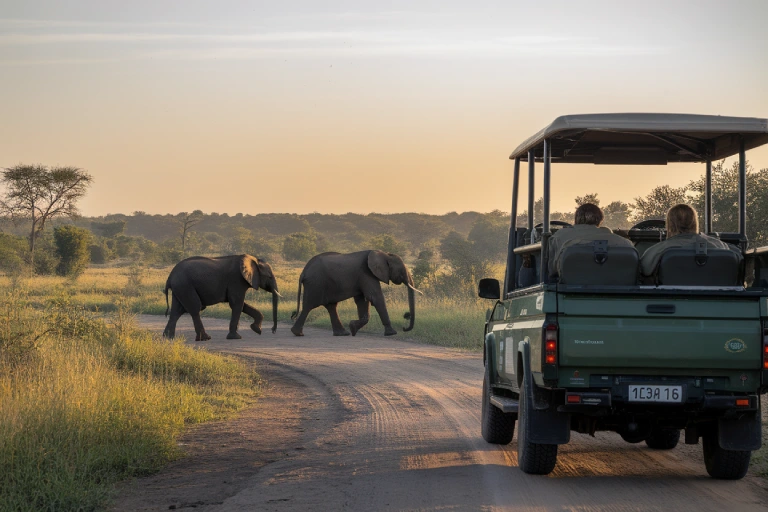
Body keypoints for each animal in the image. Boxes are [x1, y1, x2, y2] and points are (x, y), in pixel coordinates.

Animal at [290, 250, 420, 338]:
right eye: (401, 270)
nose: (404, 327)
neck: (384, 254)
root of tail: (303, 272)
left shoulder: (364, 276)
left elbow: (362, 301)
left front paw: (353, 328)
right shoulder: (366, 273)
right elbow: (375, 297)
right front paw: (392, 333)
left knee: (331, 306)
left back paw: (343, 333)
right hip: (316, 283)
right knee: (308, 306)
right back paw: (298, 333)